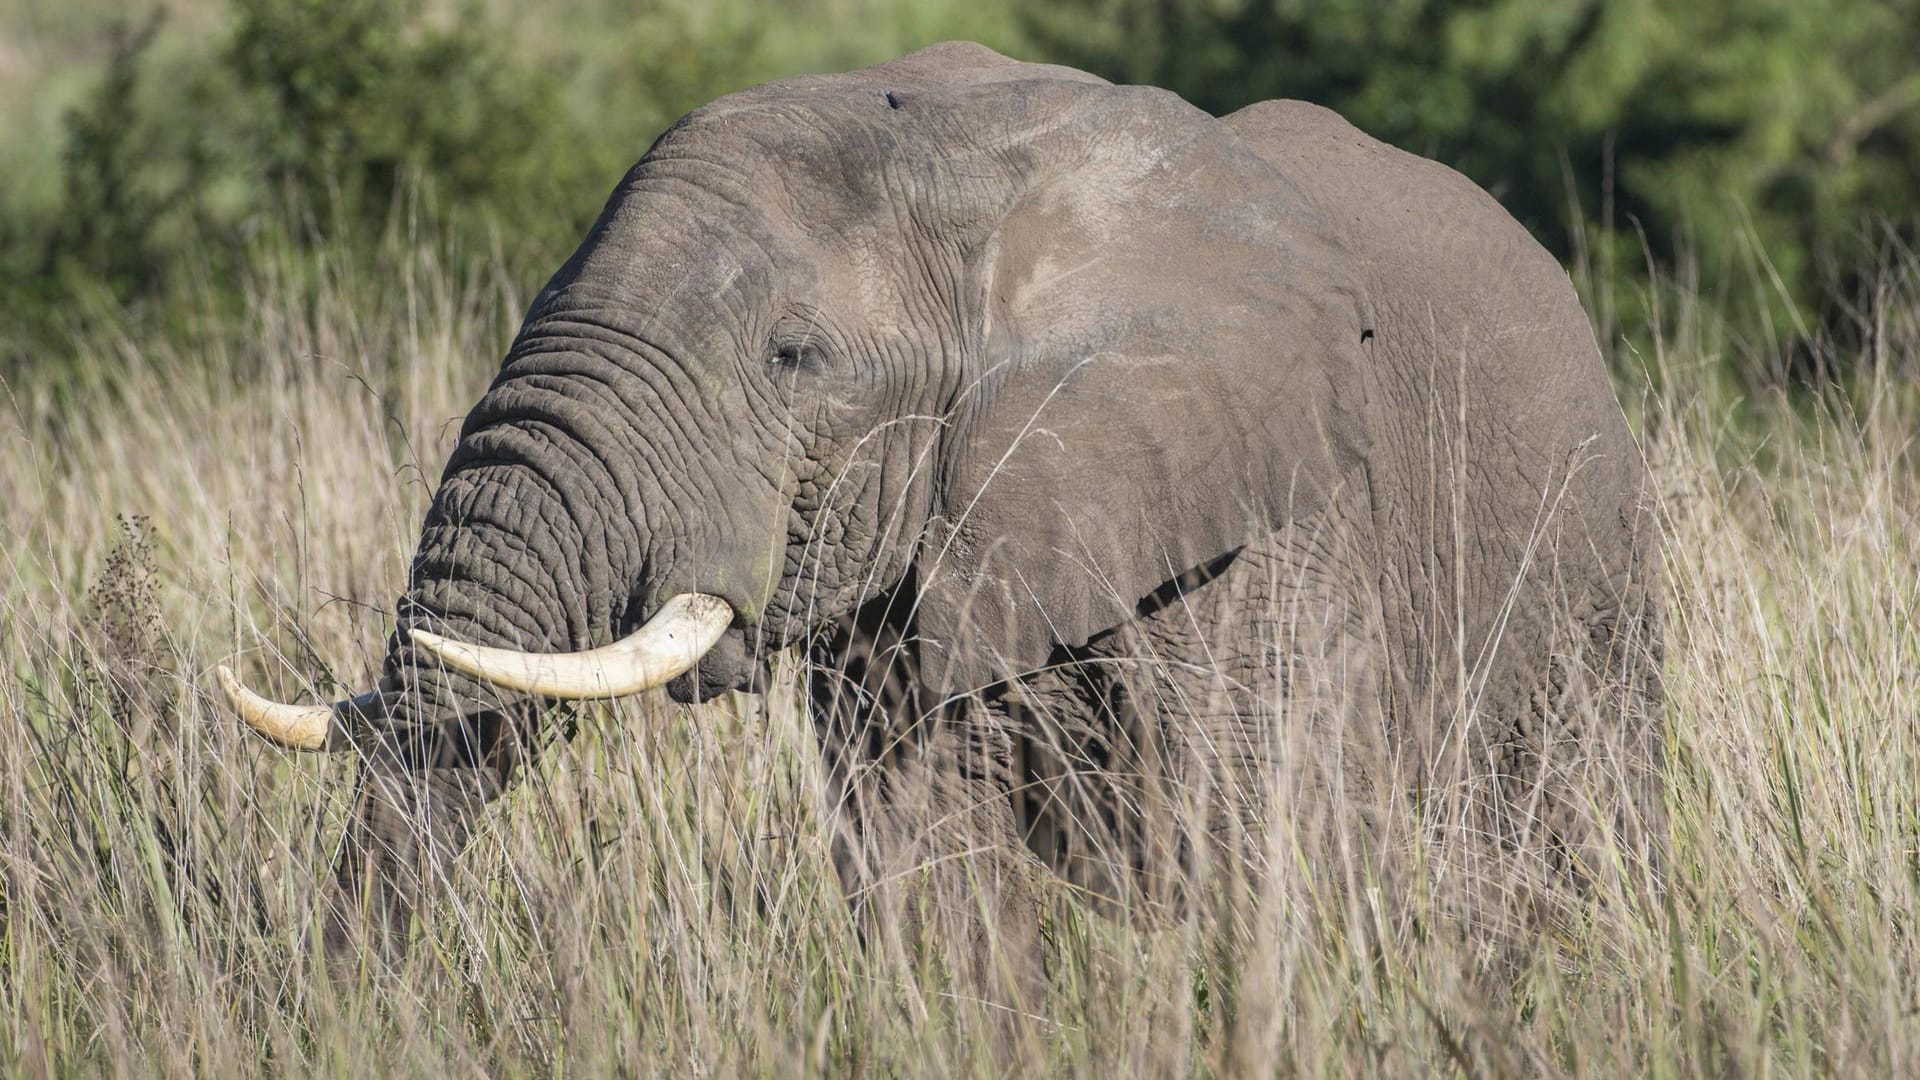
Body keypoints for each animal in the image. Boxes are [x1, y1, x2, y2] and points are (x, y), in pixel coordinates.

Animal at [214, 44, 1666, 991]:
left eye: (792, 357)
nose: (344, 1013)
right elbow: (929, 874)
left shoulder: (1265, 526)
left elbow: (1272, 835)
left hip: (1594, 565)